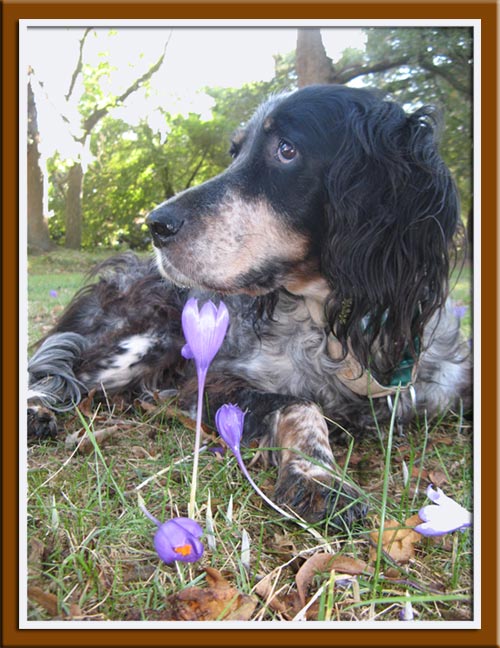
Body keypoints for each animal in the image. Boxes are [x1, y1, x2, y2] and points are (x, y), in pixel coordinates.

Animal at [27, 85, 472, 528]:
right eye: (235, 152)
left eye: (287, 149)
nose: (155, 224)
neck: (336, 338)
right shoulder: (214, 382)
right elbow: (300, 402)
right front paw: (318, 475)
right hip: (143, 340)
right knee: (62, 373)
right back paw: (36, 411)